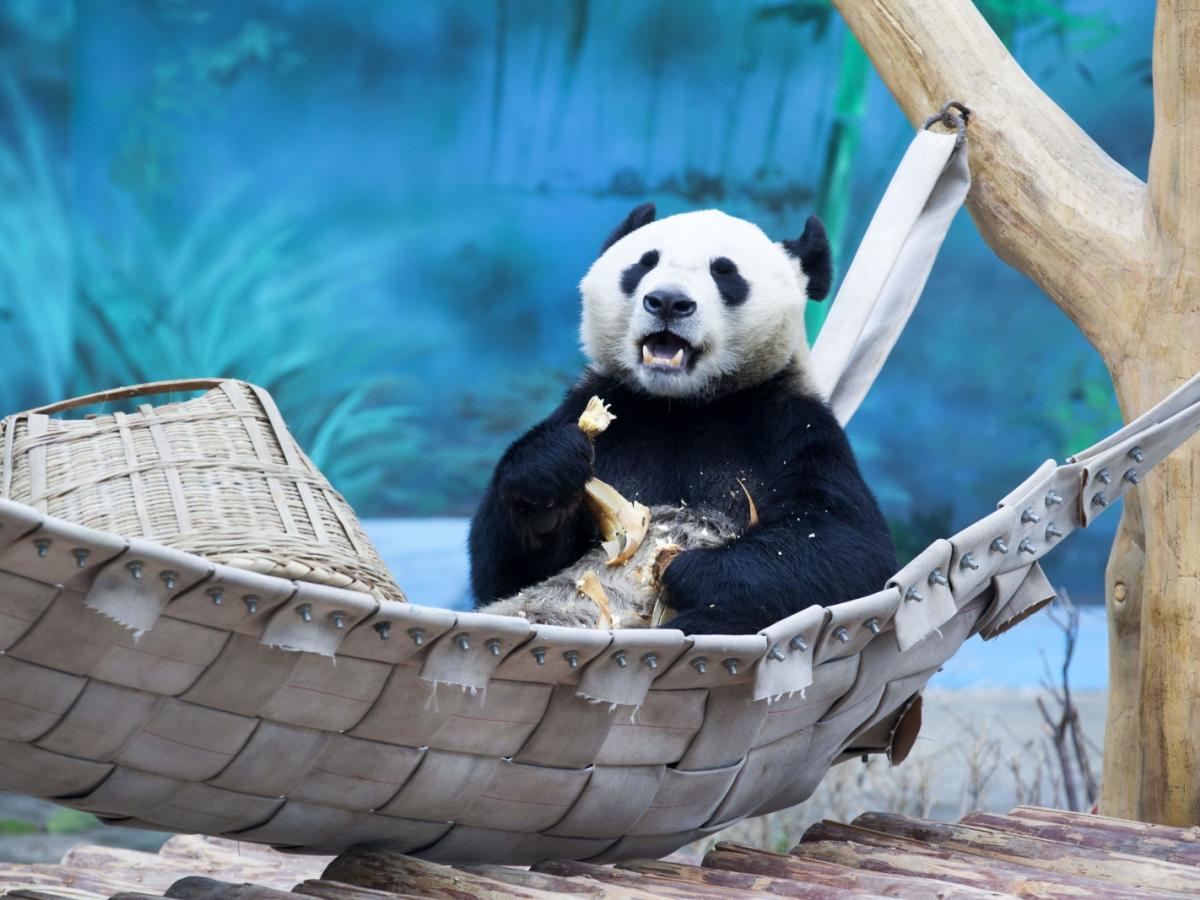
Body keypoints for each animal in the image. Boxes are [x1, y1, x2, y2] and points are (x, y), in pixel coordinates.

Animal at [468, 203, 897, 635]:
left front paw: (687, 571)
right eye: (645, 263)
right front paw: (549, 474)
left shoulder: (791, 426)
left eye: (724, 272)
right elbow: (504, 572)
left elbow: (847, 547)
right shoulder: (611, 406)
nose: (668, 301)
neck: (683, 404)